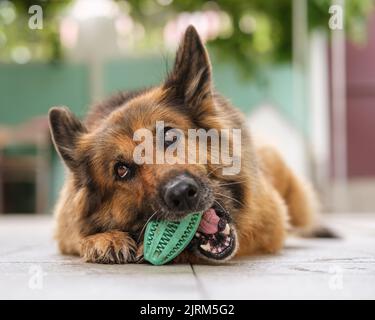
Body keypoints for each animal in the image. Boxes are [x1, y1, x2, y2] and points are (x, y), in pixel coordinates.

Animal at [49, 26, 326, 264]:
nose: (181, 193)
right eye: (122, 170)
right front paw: (105, 239)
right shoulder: (65, 224)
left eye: (169, 136)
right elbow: (78, 234)